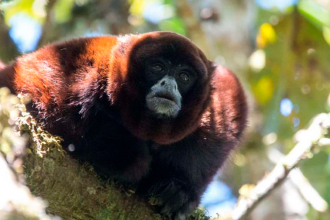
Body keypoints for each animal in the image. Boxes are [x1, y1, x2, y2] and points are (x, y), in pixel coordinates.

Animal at [0, 31, 248, 219]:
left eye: (184, 76)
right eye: (157, 68)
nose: (169, 84)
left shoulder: (221, 101)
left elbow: (229, 98)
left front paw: (180, 190)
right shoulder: (78, 78)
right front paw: (134, 164)